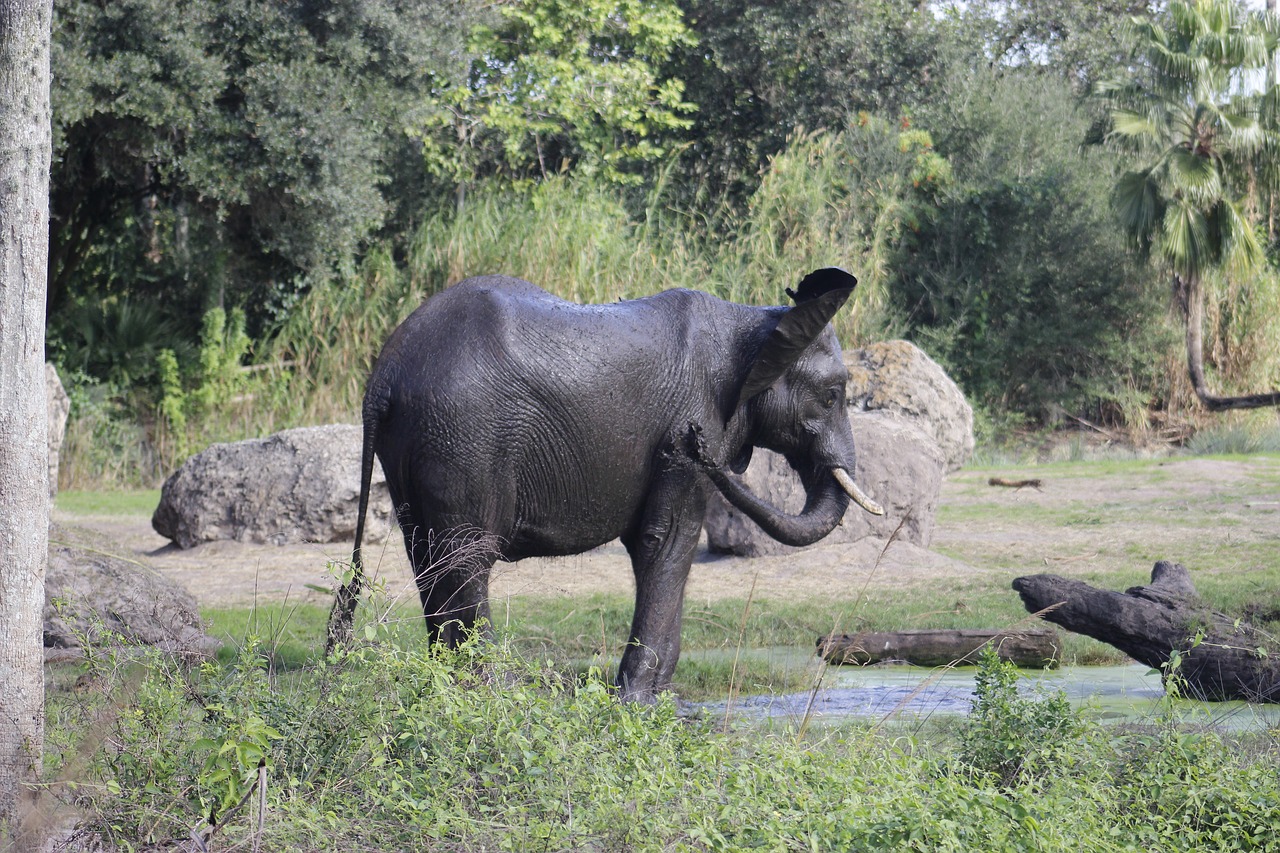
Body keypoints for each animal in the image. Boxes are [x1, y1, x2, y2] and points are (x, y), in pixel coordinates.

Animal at [330, 266, 885, 696]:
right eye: (833, 396)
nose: (695, 444)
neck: (758, 320)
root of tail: (384, 377)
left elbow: (661, 544)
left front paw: (657, 697)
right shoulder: (694, 419)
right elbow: (666, 540)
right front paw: (638, 700)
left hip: (417, 444)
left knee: (427, 557)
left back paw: (447, 686)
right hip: (462, 438)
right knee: (466, 559)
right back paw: (490, 691)